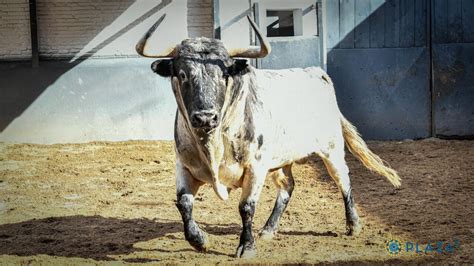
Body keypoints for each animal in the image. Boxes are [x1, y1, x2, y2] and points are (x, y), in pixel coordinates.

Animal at [136, 14, 400, 258]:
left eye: (224, 75)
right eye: (182, 74)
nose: (205, 117)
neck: (212, 146)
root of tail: (316, 73)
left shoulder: (256, 167)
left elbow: (246, 207)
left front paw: (246, 246)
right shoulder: (183, 165)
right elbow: (184, 203)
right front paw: (199, 240)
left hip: (331, 149)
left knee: (343, 180)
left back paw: (353, 224)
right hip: (281, 160)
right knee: (287, 187)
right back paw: (269, 229)